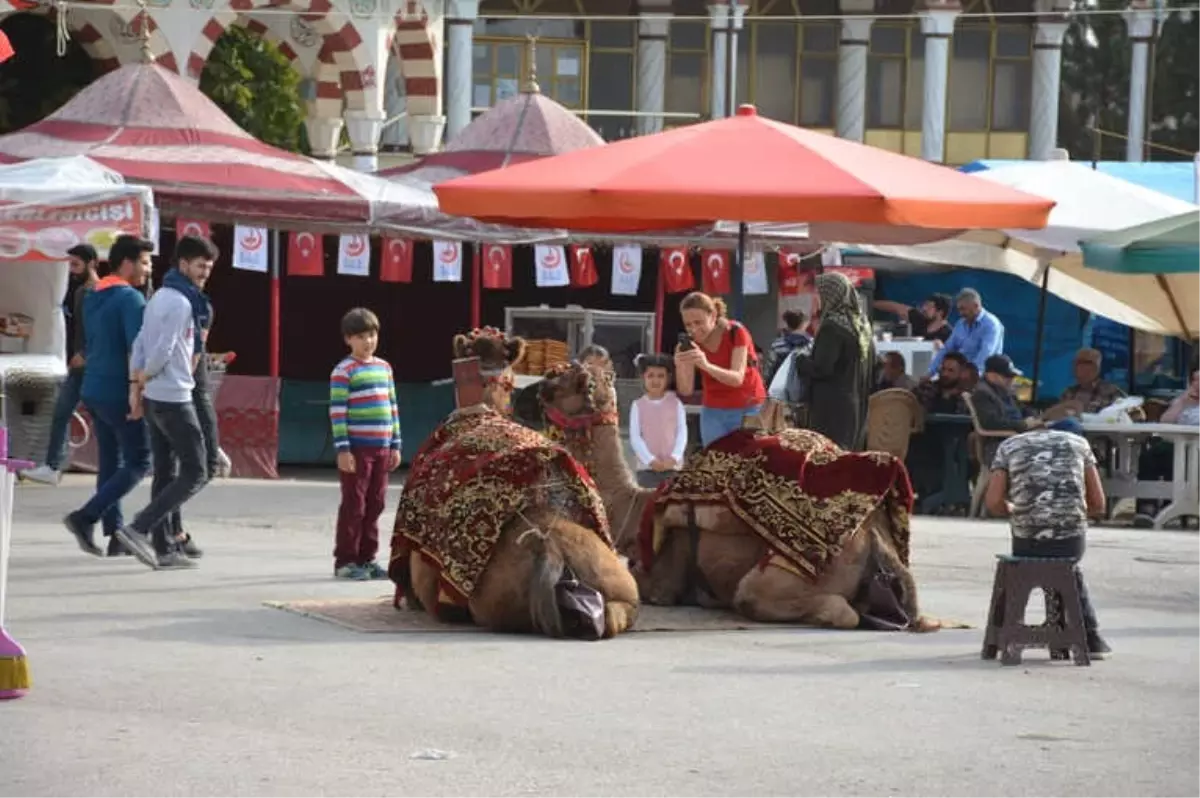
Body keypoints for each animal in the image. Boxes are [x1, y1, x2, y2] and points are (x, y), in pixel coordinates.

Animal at [532, 357, 936, 633]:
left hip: (785, 577)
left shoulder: (662, 580)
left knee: (822, 609)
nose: (534, 387)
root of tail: (871, 534)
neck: (636, 508)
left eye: (561, 378)